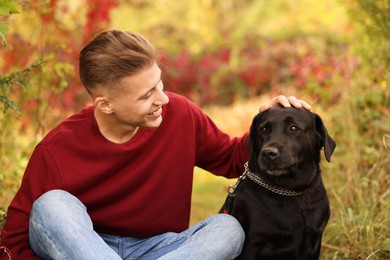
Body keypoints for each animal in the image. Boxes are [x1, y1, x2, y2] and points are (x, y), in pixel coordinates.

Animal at [221, 106, 336, 258]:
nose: (268, 154)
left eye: (293, 128)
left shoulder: (314, 240)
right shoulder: (252, 244)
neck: (291, 190)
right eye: (263, 129)